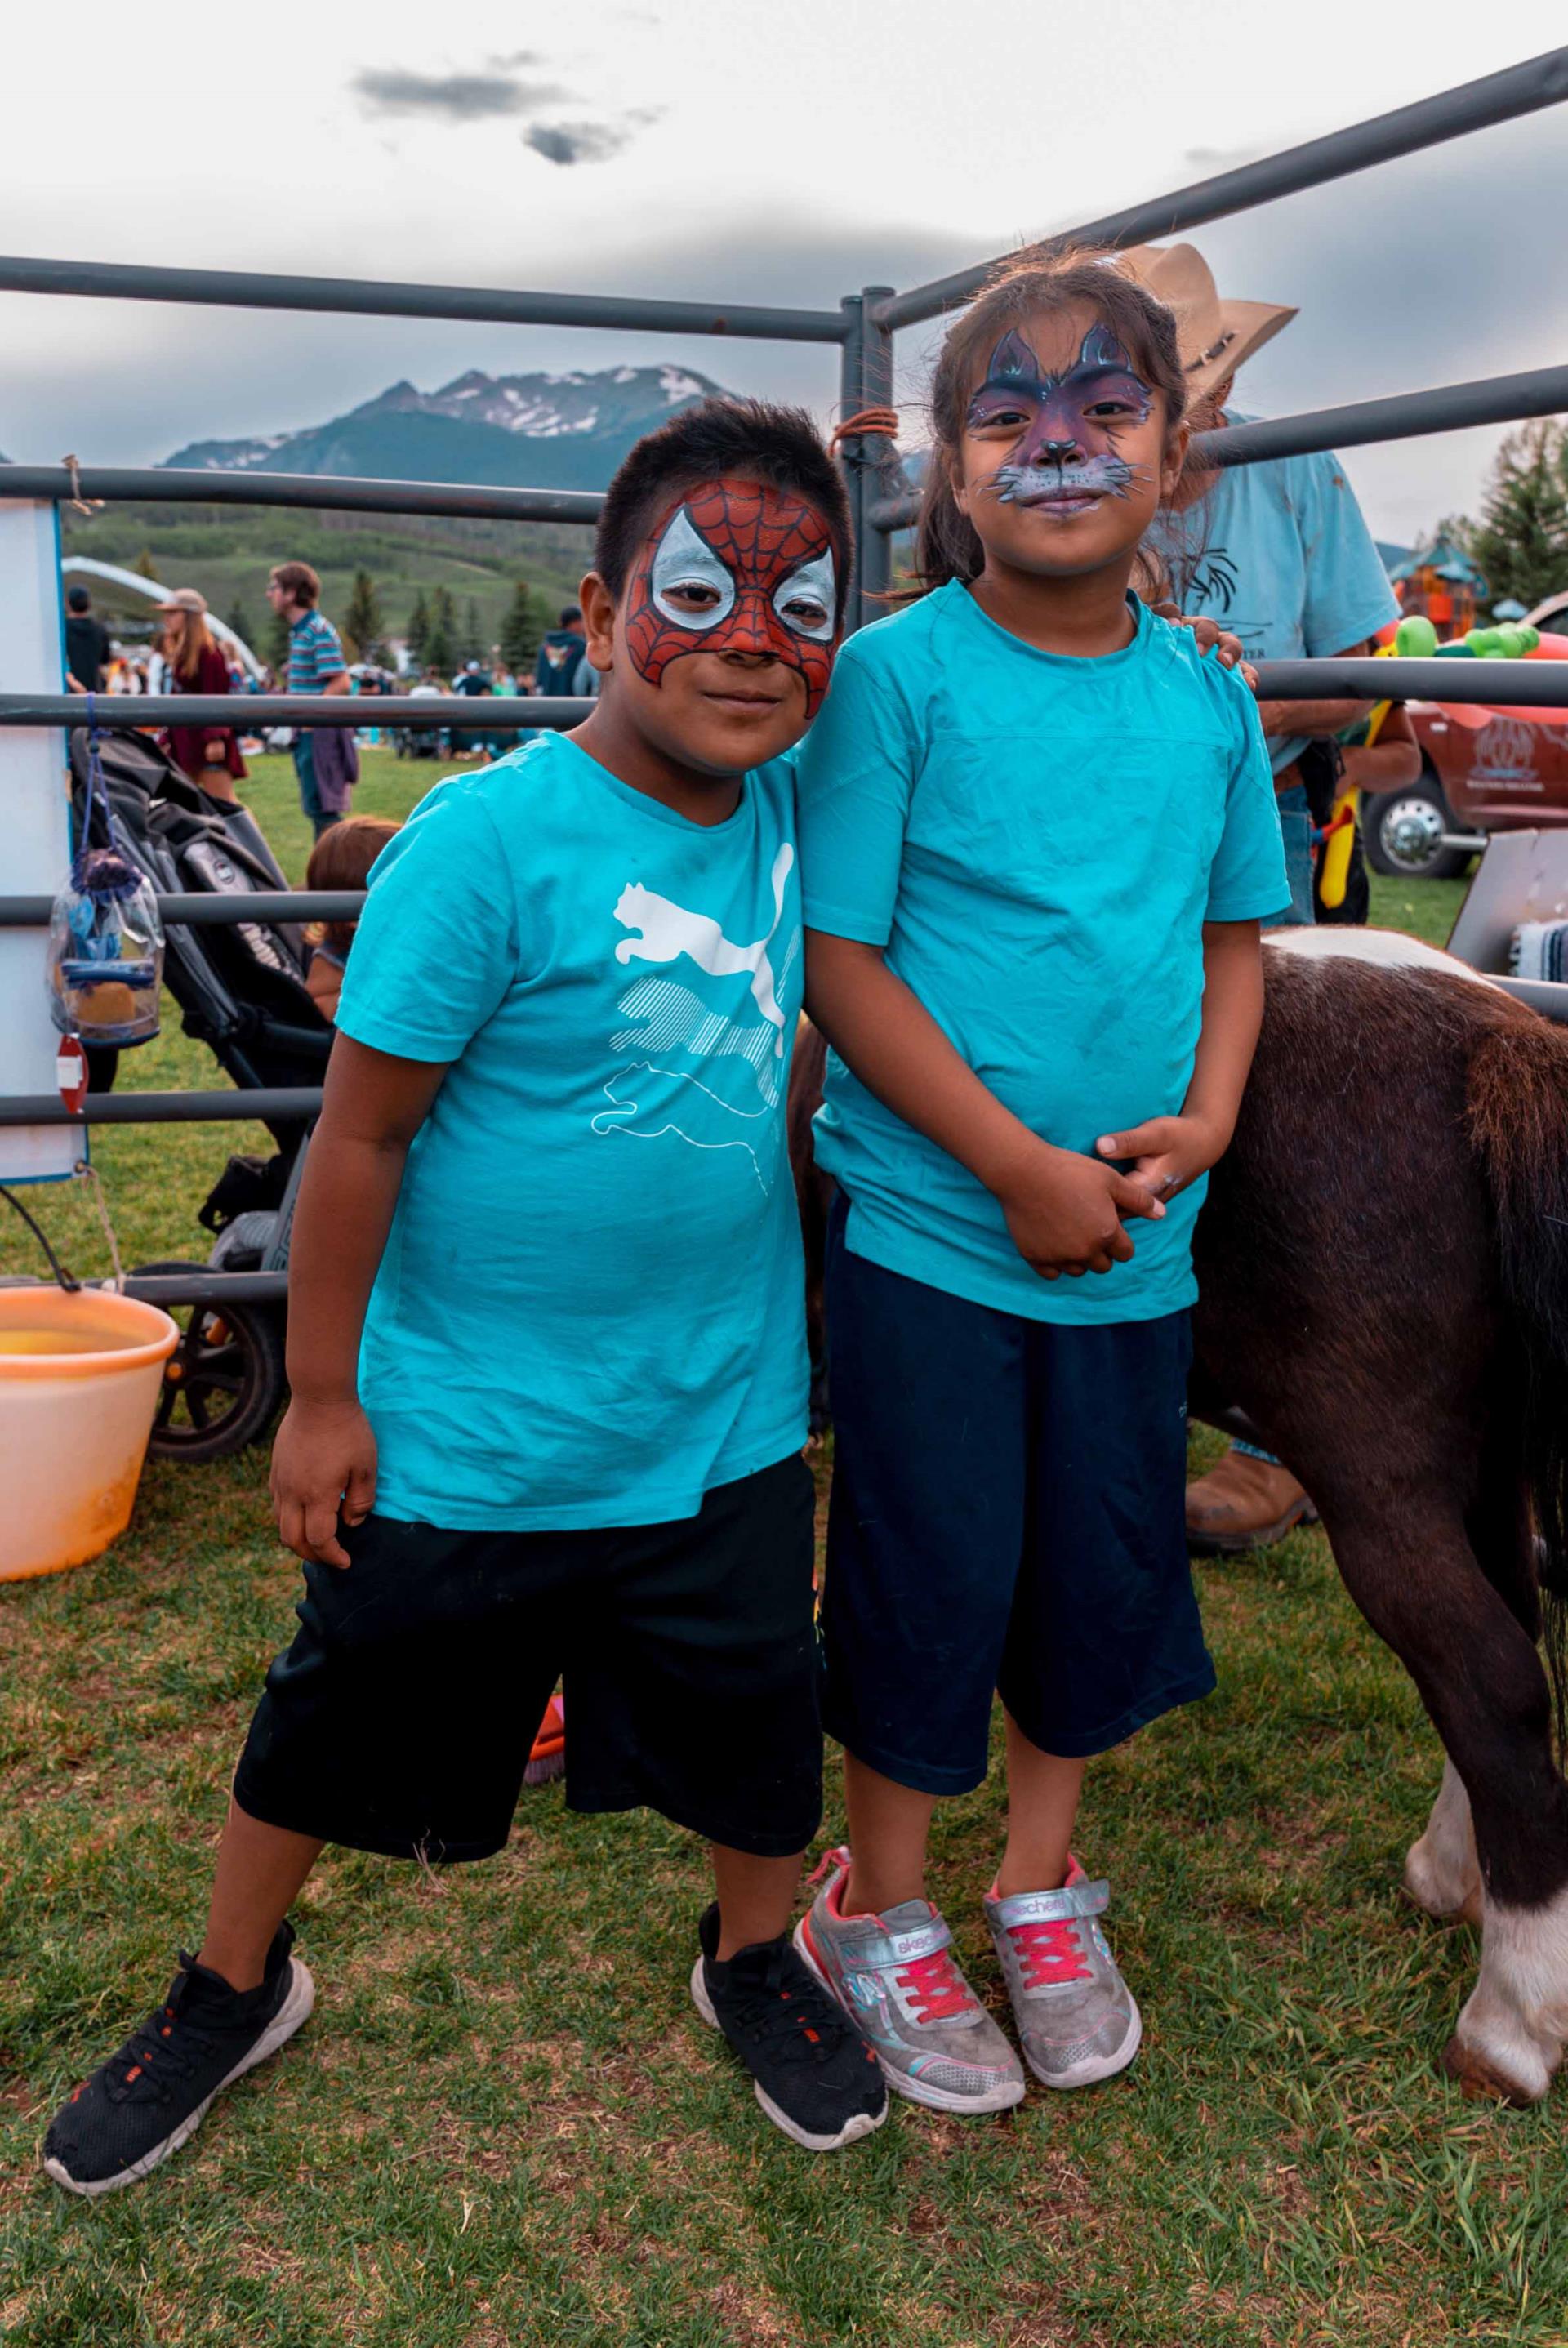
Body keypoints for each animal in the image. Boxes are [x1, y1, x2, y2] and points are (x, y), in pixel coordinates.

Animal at [788, 934, 1568, 2113]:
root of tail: (1493, 1036)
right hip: (1484, 1464)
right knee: (1508, 1640)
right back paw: (1452, 1875)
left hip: (1377, 1467)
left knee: (1486, 1673)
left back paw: (1510, 2021)